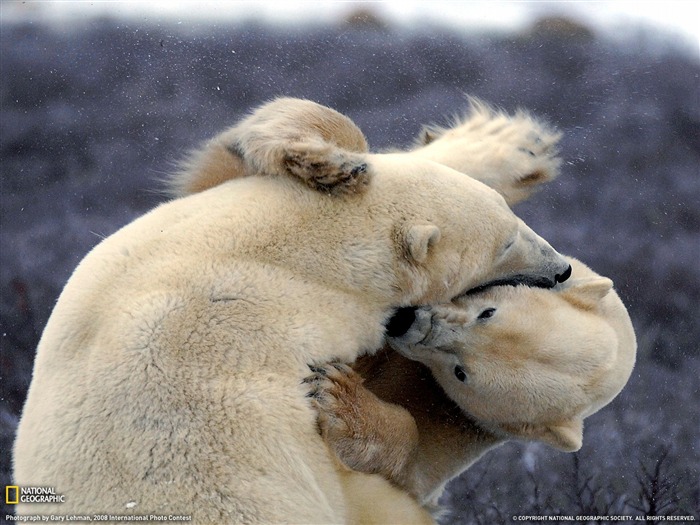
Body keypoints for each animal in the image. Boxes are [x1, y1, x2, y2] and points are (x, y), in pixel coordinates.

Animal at [308, 258, 636, 508]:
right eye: (487, 313)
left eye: (461, 373)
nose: (405, 322)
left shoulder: (466, 423)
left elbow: (413, 476)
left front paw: (338, 396)